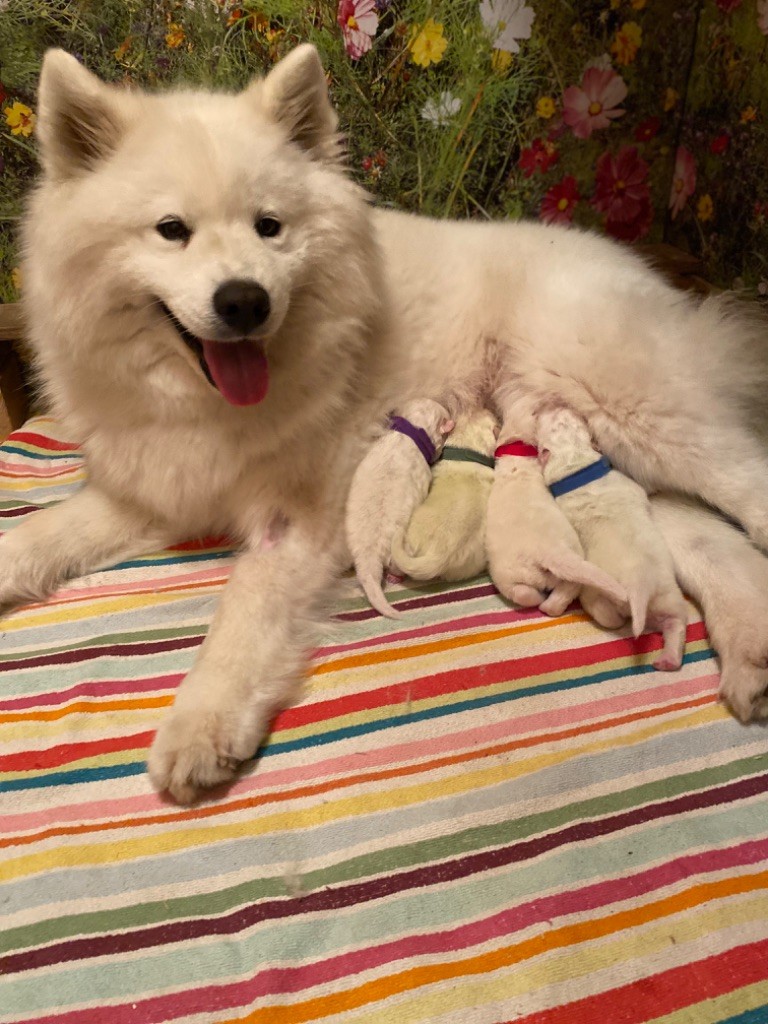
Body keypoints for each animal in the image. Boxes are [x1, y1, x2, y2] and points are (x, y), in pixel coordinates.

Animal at [489, 432, 626, 614]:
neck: (517, 463)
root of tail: (550, 555)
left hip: (507, 576)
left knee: (524, 593)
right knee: (563, 588)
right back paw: (547, 604)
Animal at [536, 407, 688, 671]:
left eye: (566, 421)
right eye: (555, 422)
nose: (557, 406)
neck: (575, 463)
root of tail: (639, 585)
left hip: (641, 595)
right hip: (650, 595)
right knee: (671, 622)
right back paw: (668, 659)